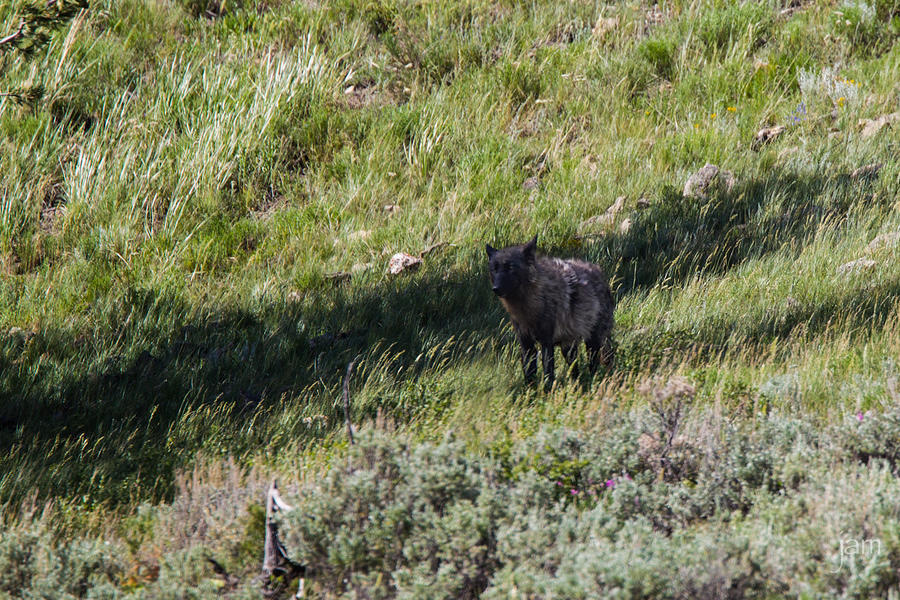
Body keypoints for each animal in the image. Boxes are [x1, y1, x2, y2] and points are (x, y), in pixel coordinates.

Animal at [488, 234, 616, 384]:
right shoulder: (526, 344)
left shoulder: (546, 342)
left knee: (595, 365)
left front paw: (547, 389)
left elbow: (548, 374)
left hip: (593, 341)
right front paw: (530, 390)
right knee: (576, 370)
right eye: (494, 269)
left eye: (510, 268)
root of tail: (599, 272)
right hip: (568, 348)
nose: (496, 289)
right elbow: (529, 375)